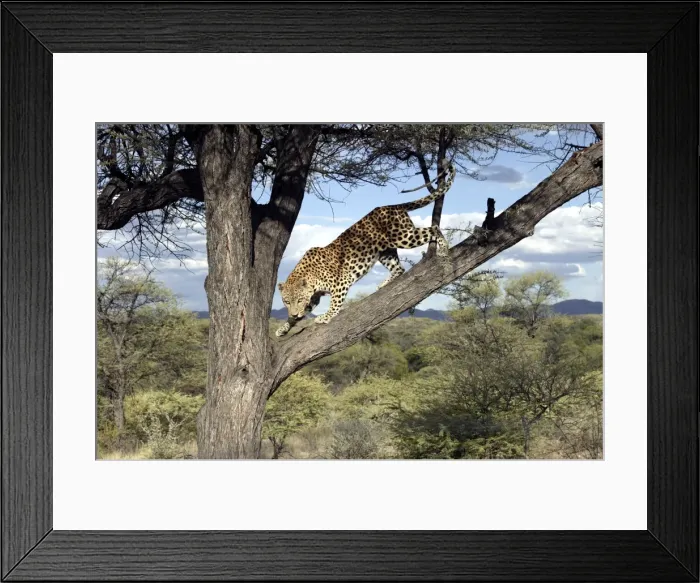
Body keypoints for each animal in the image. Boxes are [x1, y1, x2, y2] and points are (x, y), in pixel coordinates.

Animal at [275, 165, 456, 337]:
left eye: (299, 299)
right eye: (286, 301)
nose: (294, 313)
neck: (309, 276)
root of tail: (392, 206)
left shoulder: (341, 282)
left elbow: (334, 304)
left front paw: (325, 317)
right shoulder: (314, 297)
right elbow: (300, 314)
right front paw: (284, 327)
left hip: (404, 236)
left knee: (434, 228)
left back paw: (443, 249)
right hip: (385, 252)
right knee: (399, 268)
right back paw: (383, 284)